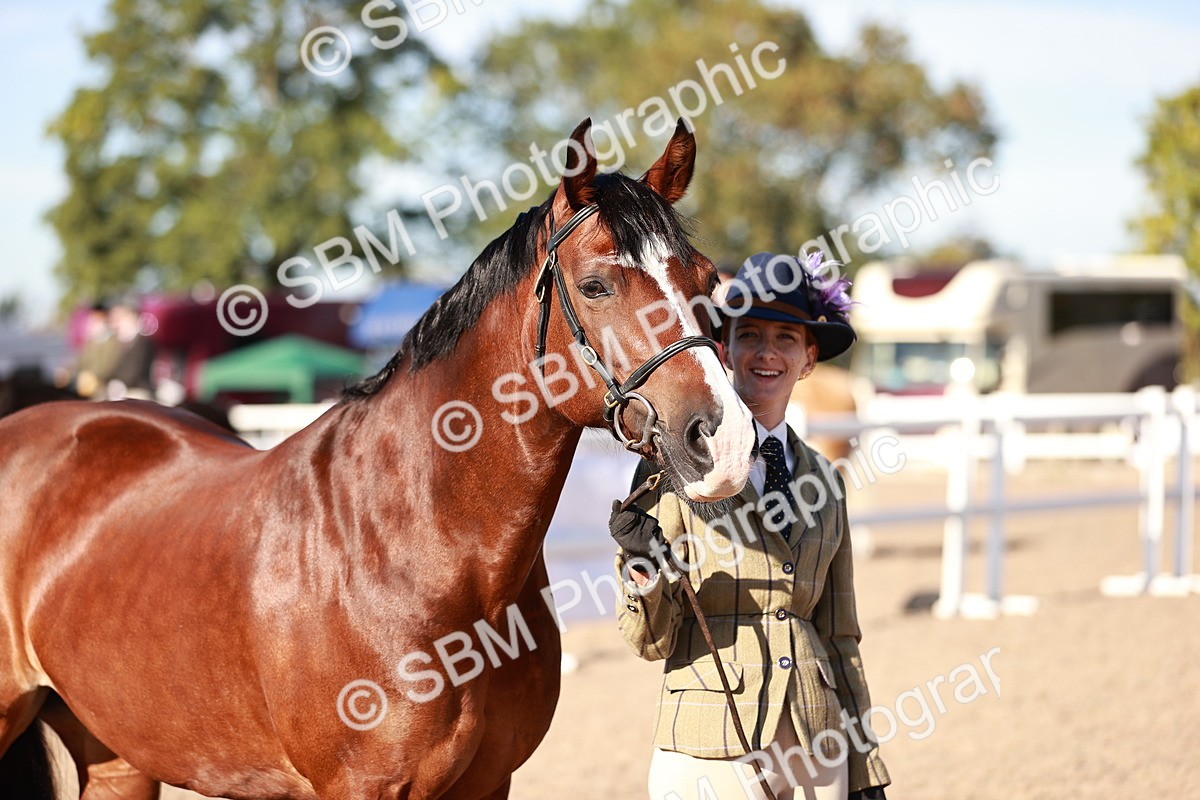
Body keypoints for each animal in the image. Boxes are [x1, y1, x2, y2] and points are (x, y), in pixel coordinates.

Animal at [0, 118, 756, 800]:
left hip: (116, 754)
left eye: (708, 279)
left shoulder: (489, 784)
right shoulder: (360, 787)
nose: (724, 440)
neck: (410, 549)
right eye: (597, 284)